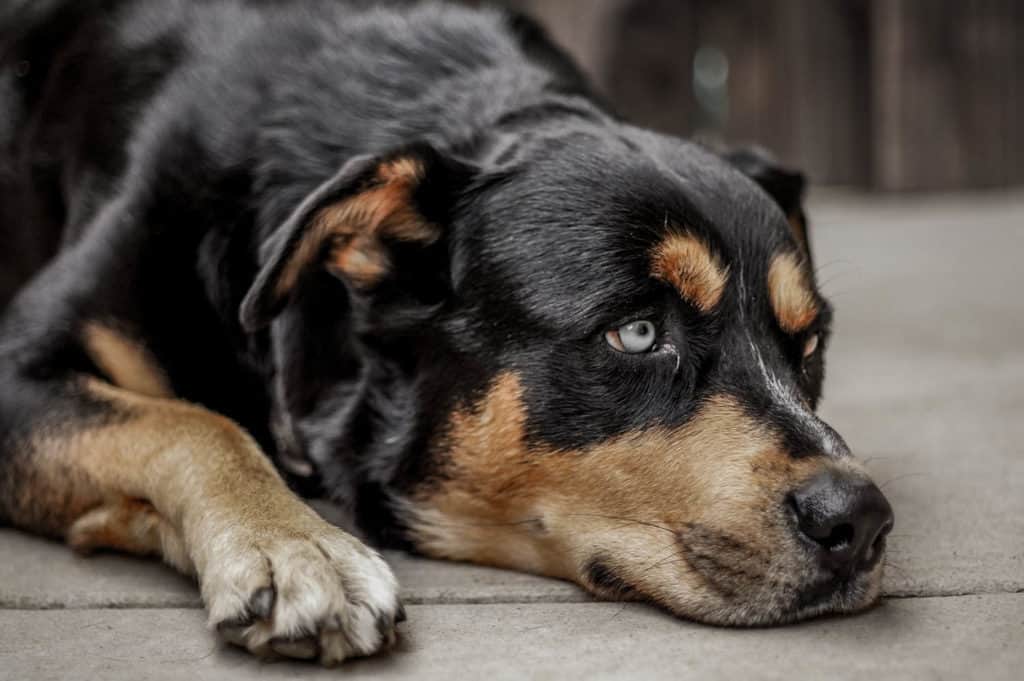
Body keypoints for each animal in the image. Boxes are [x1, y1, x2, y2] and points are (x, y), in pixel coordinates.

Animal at [0, 0, 888, 667]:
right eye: (638, 333)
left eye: (808, 346)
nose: (860, 520)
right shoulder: (15, 364)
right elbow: (196, 424)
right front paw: (299, 546)